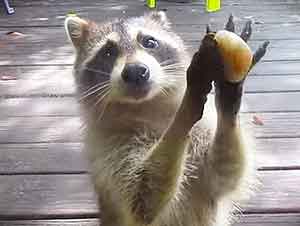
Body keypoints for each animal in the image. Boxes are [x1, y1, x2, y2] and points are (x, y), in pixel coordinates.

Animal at [64, 11, 268, 226]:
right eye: (108, 52)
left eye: (149, 42)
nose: (135, 71)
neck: (148, 107)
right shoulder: (107, 153)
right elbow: (142, 198)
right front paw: (185, 110)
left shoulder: (204, 135)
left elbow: (224, 173)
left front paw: (228, 88)